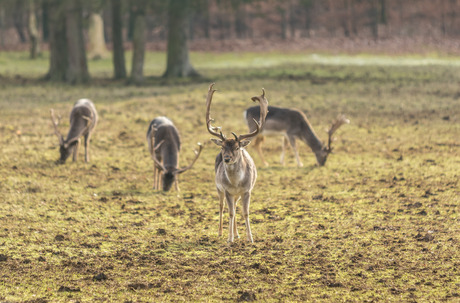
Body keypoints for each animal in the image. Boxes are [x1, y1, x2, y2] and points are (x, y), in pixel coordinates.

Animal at [206, 83, 270, 245]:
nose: (227, 158)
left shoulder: (247, 190)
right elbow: (230, 213)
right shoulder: (227, 190)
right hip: (219, 188)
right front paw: (229, 239)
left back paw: (237, 234)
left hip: (237, 195)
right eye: (222, 147)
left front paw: (250, 238)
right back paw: (221, 232)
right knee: (222, 206)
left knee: (235, 207)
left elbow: (245, 212)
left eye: (236, 147)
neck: (235, 183)